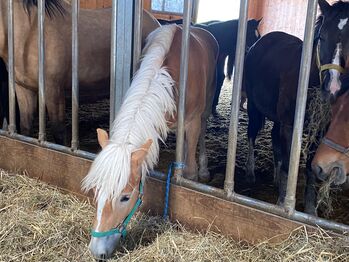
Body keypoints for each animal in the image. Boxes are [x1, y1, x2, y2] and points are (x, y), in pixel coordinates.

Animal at [0, 0, 159, 144]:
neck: (30, 33)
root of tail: (154, 22)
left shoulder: (53, 91)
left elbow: (58, 131)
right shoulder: (23, 89)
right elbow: (25, 128)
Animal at [82, 25, 218, 260]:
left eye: (125, 197)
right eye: (96, 190)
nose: (97, 251)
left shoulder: (191, 122)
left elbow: (190, 169)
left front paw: (193, 175)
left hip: (207, 106)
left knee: (202, 132)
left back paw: (203, 168)